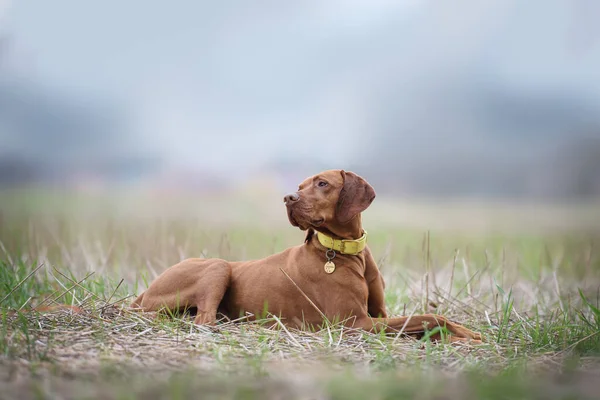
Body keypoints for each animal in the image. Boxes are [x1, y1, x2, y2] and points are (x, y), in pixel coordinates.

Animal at [132, 170, 482, 342]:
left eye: (322, 183)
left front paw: (466, 334)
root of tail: (142, 295)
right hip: (218, 266)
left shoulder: (379, 315)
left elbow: (428, 320)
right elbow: (431, 317)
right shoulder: (356, 324)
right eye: (300, 186)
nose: (288, 197)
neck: (343, 250)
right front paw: (467, 336)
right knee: (204, 319)